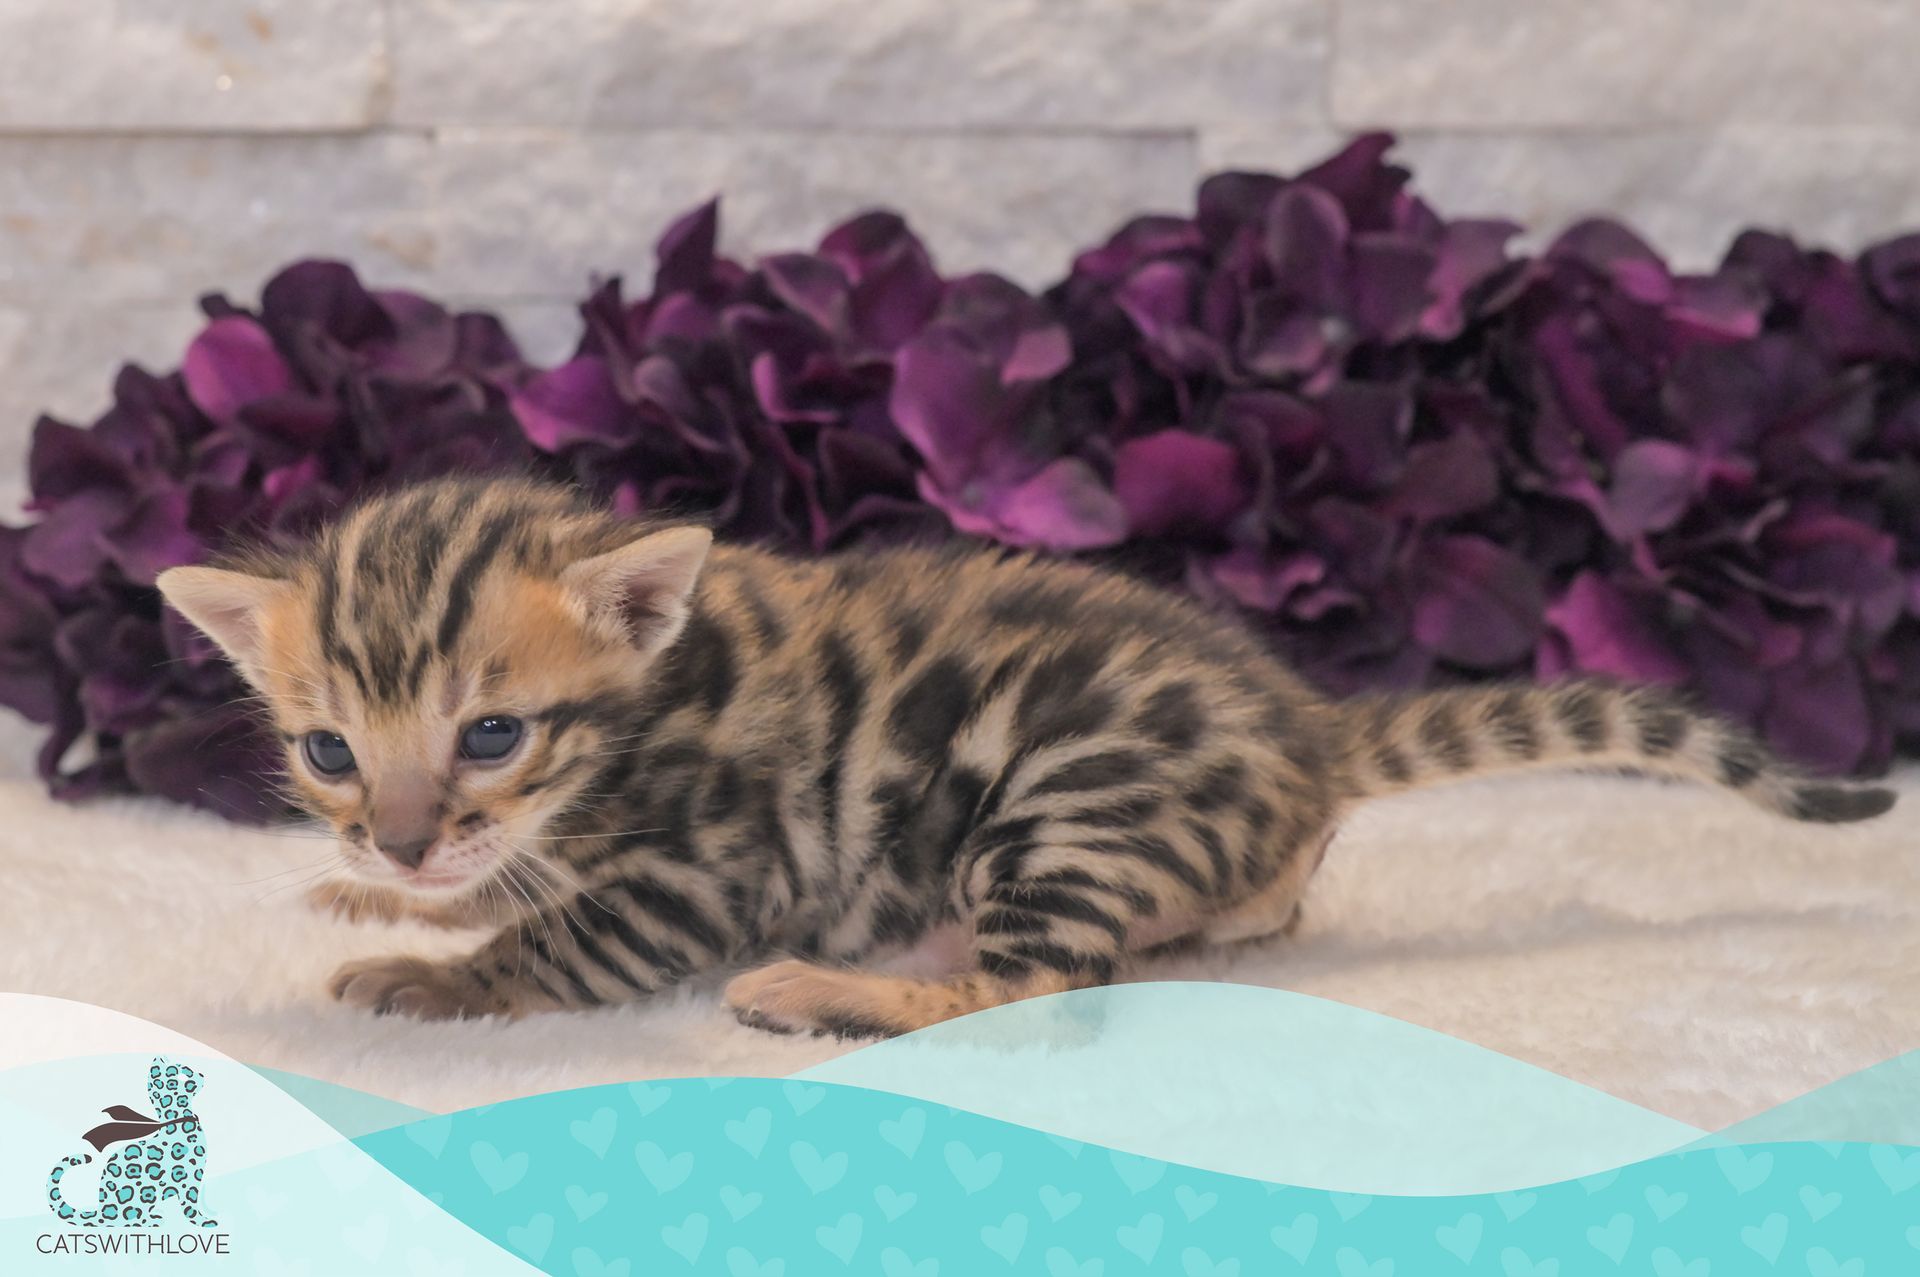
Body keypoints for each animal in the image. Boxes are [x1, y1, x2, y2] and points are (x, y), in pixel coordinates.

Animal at [157, 478, 1896, 1036]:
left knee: (1038, 982)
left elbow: (558, 939)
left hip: (1065, 804)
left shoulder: (702, 875)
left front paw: (433, 970)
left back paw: (840, 989)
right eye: (329, 750)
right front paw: (401, 905)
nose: (394, 840)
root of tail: (1308, 730)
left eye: (495, 732)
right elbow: (510, 887)